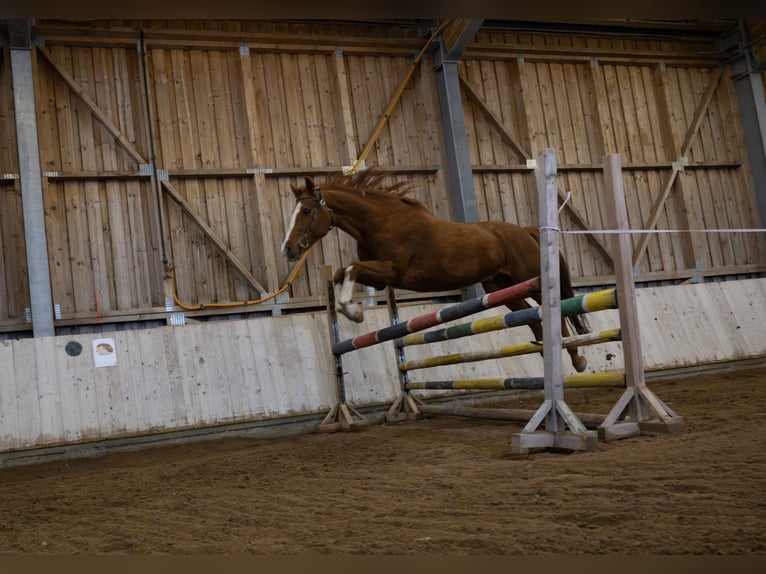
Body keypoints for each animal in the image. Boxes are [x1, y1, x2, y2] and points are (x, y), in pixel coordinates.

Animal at [284, 169, 592, 374]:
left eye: (307, 212)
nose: (288, 250)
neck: (381, 221)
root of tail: (526, 231)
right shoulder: (382, 279)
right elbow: (340, 272)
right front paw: (350, 309)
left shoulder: (393, 271)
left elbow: (350, 267)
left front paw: (354, 311)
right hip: (500, 288)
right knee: (533, 319)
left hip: (531, 280)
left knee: (555, 314)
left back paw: (577, 359)